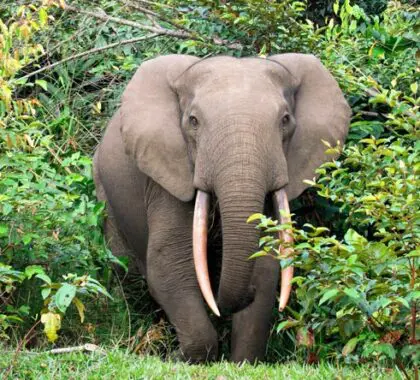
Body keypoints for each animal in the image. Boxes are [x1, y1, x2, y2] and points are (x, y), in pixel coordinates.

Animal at [92, 53, 352, 362]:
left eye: (285, 120)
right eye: (193, 121)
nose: (226, 301)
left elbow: (265, 268)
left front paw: (242, 363)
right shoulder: (167, 178)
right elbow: (169, 265)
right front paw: (185, 358)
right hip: (104, 192)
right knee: (124, 271)